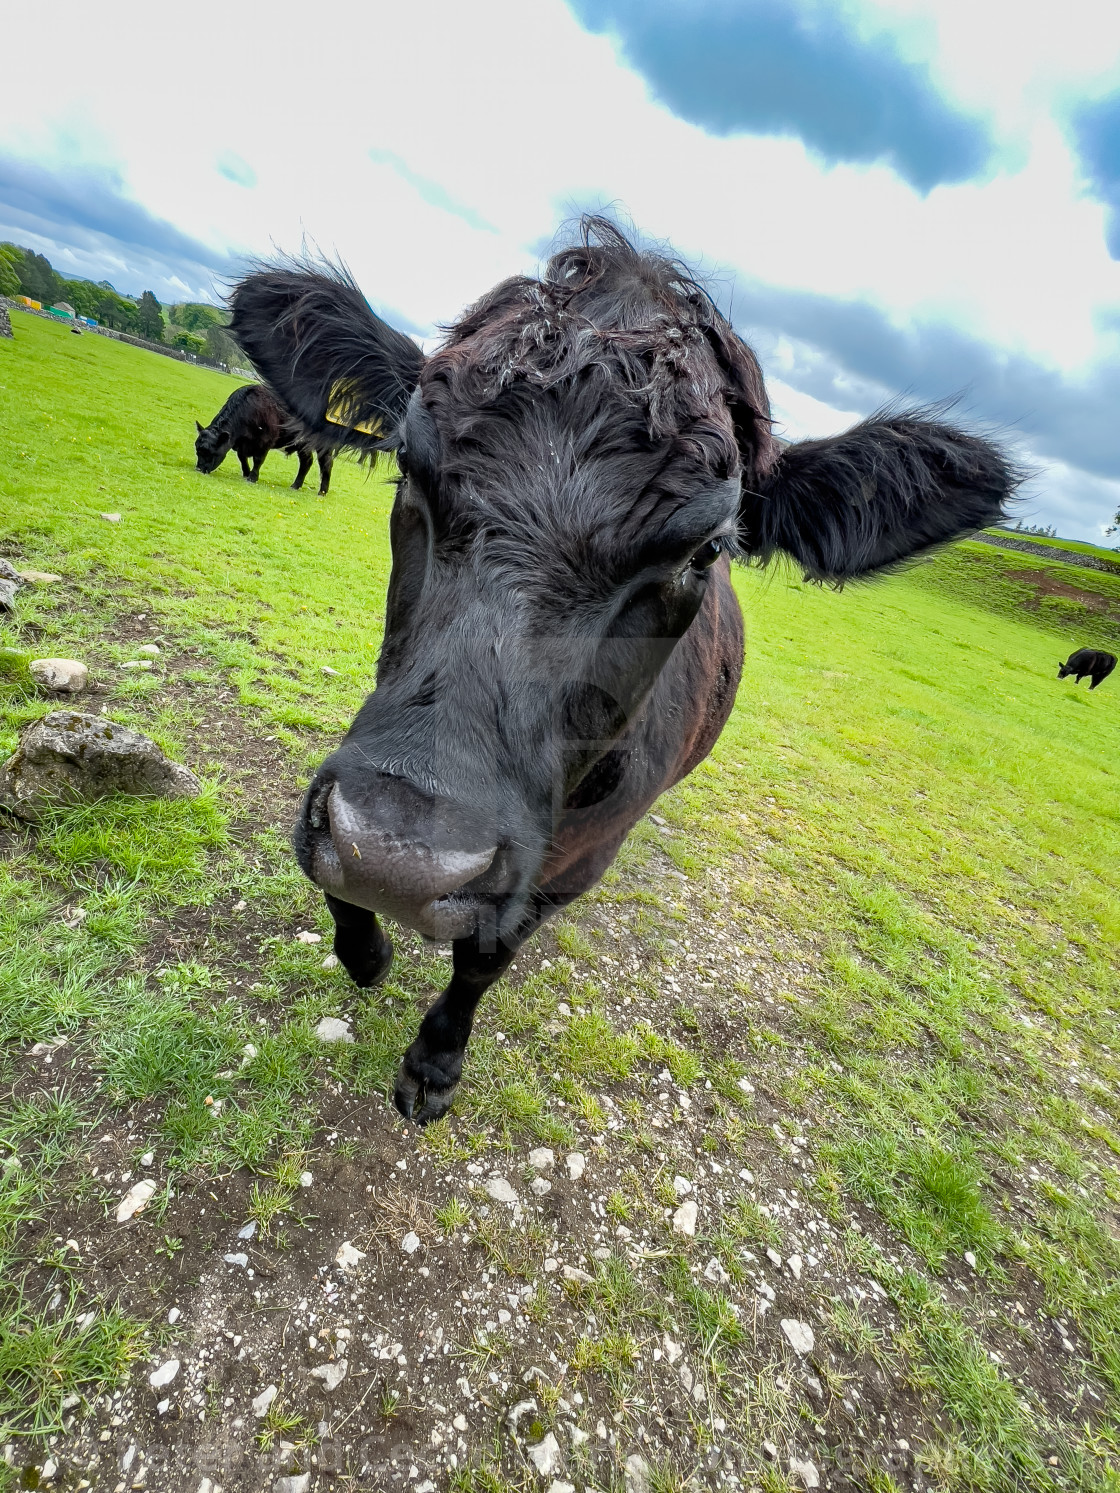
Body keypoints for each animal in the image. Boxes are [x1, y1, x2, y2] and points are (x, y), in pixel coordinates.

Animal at [194, 382, 333, 492]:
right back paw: (296, 486)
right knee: (307, 462)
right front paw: (246, 473)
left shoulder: (264, 441)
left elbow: (258, 460)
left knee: (325, 463)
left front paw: (252, 477)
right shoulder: (240, 444)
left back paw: (322, 491)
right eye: (197, 451)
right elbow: (242, 457)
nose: (199, 469)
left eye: (211, 453)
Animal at [229, 217, 1027, 1122]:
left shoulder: (576, 861)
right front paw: (366, 951)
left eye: (706, 549)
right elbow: (339, 869)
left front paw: (434, 1061)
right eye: (405, 458)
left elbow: (486, 956)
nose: (403, 856)